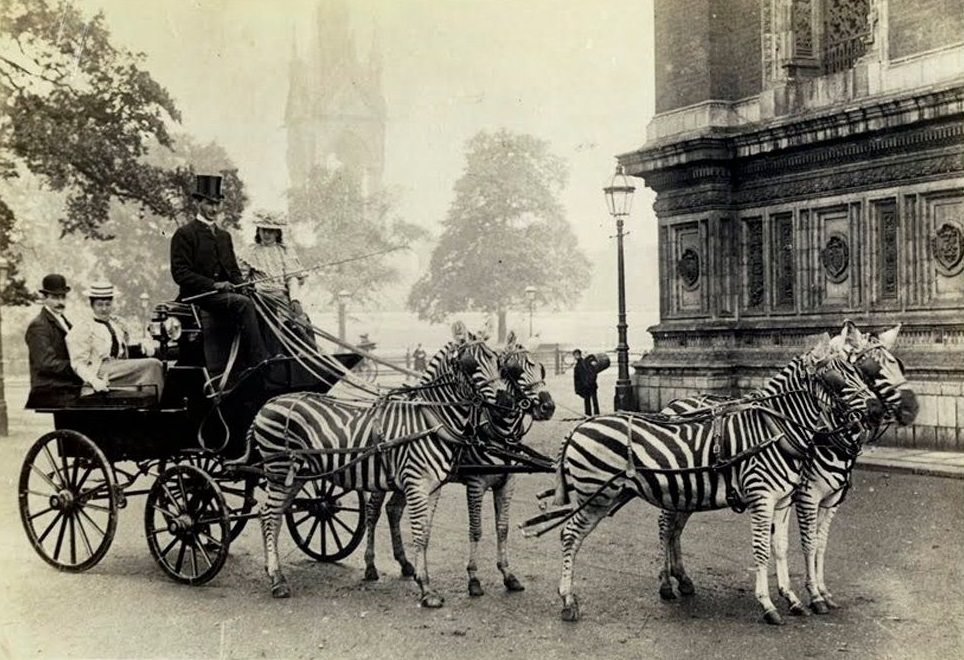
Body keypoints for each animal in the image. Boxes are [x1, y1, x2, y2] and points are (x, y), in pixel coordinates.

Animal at [252, 322, 516, 604]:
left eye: (497, 361)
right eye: (469, 364)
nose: (505, 402)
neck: (430, 419)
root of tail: (269, 402)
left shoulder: (433, 487)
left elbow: (426, 534)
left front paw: (422, 579)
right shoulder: (417, 484)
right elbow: (418, 534)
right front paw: (425, 588)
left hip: (296, 476)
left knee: (272, 516)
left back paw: (271, 570)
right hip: (279, 472)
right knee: (269, 515)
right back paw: (278, 580)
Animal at [364, 332, 556, 596]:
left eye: (541, 369)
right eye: (513, 370)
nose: (548, 407)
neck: (498, 433)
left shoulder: (507, 483)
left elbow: (502, 528)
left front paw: (508, 574)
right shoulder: (476, 483)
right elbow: (476, 529)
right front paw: (474, 578)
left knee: (393, 510)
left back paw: (405, 563)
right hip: (382, 477)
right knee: (372, 513)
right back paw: (370, 566)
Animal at [548, 330, 884, 624]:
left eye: (862, 372)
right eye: (837, 378)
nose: (877, 410)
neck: (774, 430)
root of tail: (578, 427)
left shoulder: (784, 500)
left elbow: (781, 547)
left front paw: (792, 598)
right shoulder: (766, 497)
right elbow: (763, 549)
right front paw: (769, 604)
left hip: (656, 492)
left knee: (661, 529)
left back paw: (671, 584)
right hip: (597, 496)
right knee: (571, 534)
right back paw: (569, 600)